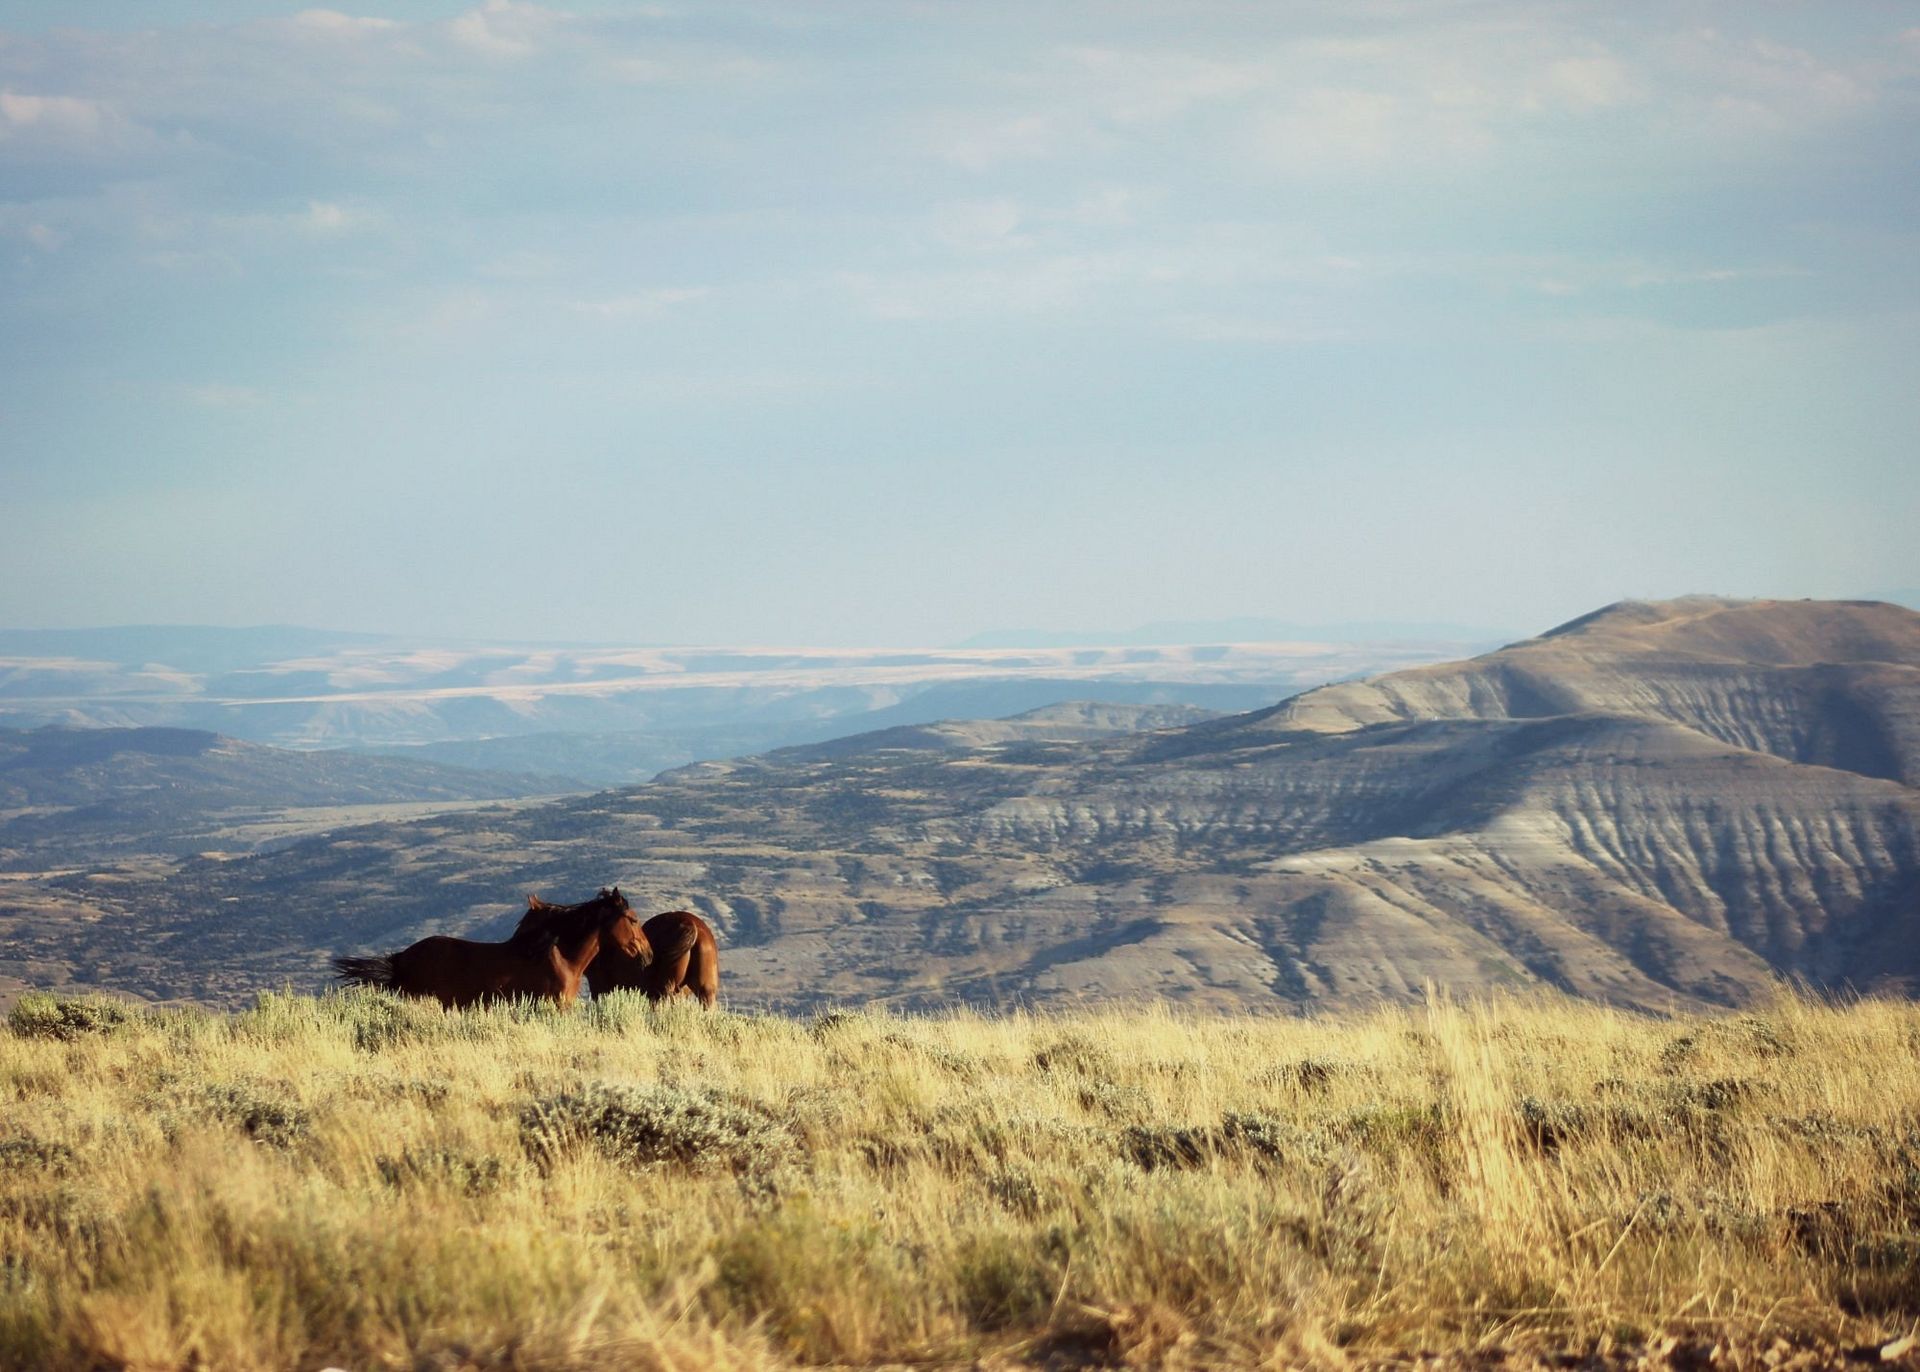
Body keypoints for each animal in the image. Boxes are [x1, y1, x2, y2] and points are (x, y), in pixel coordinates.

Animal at [514, 901, 719, 1007]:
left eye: (526, 923)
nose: (515, 943)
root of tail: (693, 926)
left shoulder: (600, 988)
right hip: (704, 992)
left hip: (667, 992)